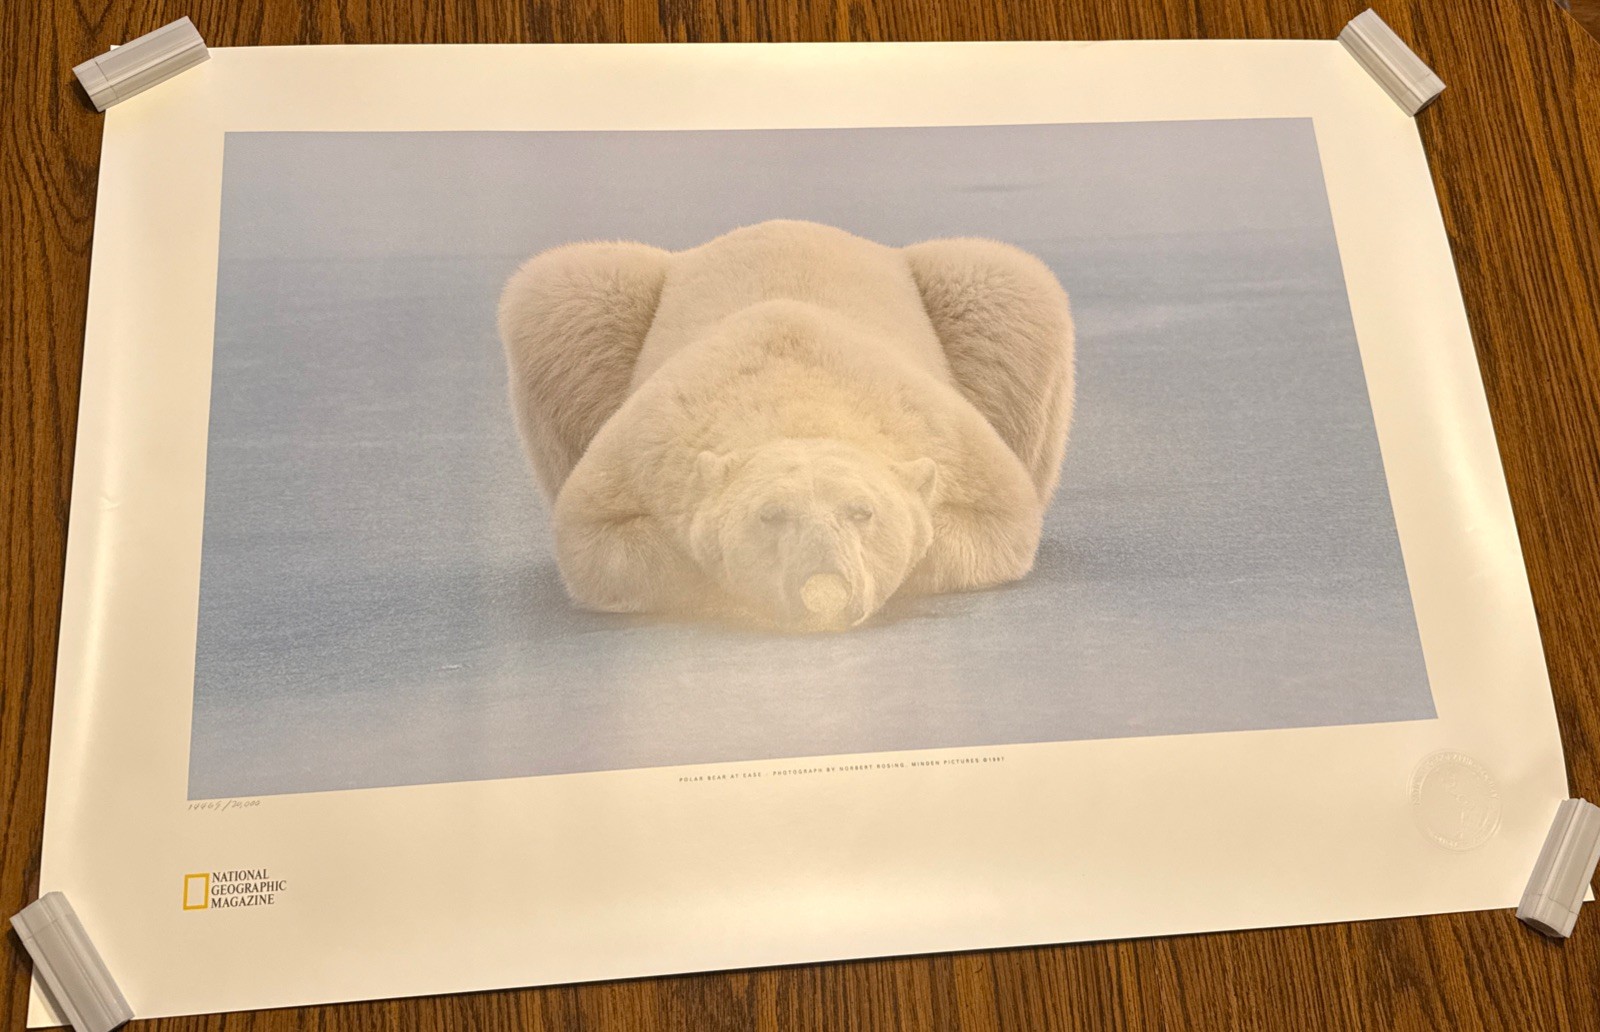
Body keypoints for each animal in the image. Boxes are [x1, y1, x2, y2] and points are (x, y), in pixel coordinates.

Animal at [498, 219, 1075, 631]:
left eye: (863, 512)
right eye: (771, 515)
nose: (824, 586)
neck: (795, 393)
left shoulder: (944, 433)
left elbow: (1002, 516)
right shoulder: (647, 444)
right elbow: (593, 535)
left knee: (1005, 282)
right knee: (565, 291)